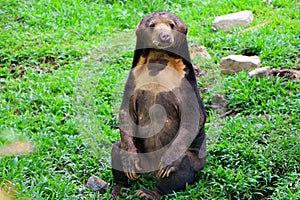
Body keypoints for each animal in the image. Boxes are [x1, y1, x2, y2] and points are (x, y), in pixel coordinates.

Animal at [110, 11, 206, 199]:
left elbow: (193, 118)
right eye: (152, 25)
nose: (165, 36)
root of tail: (150, 172)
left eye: (172, 25)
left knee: (180, 170)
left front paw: (168, 164)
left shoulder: (186, 83)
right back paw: (118, 189)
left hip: (193, 159)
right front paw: (130, 164)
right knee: (117, 149)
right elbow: (126, 113)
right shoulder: (134, 79)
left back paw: (148, 192)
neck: (159, 62)